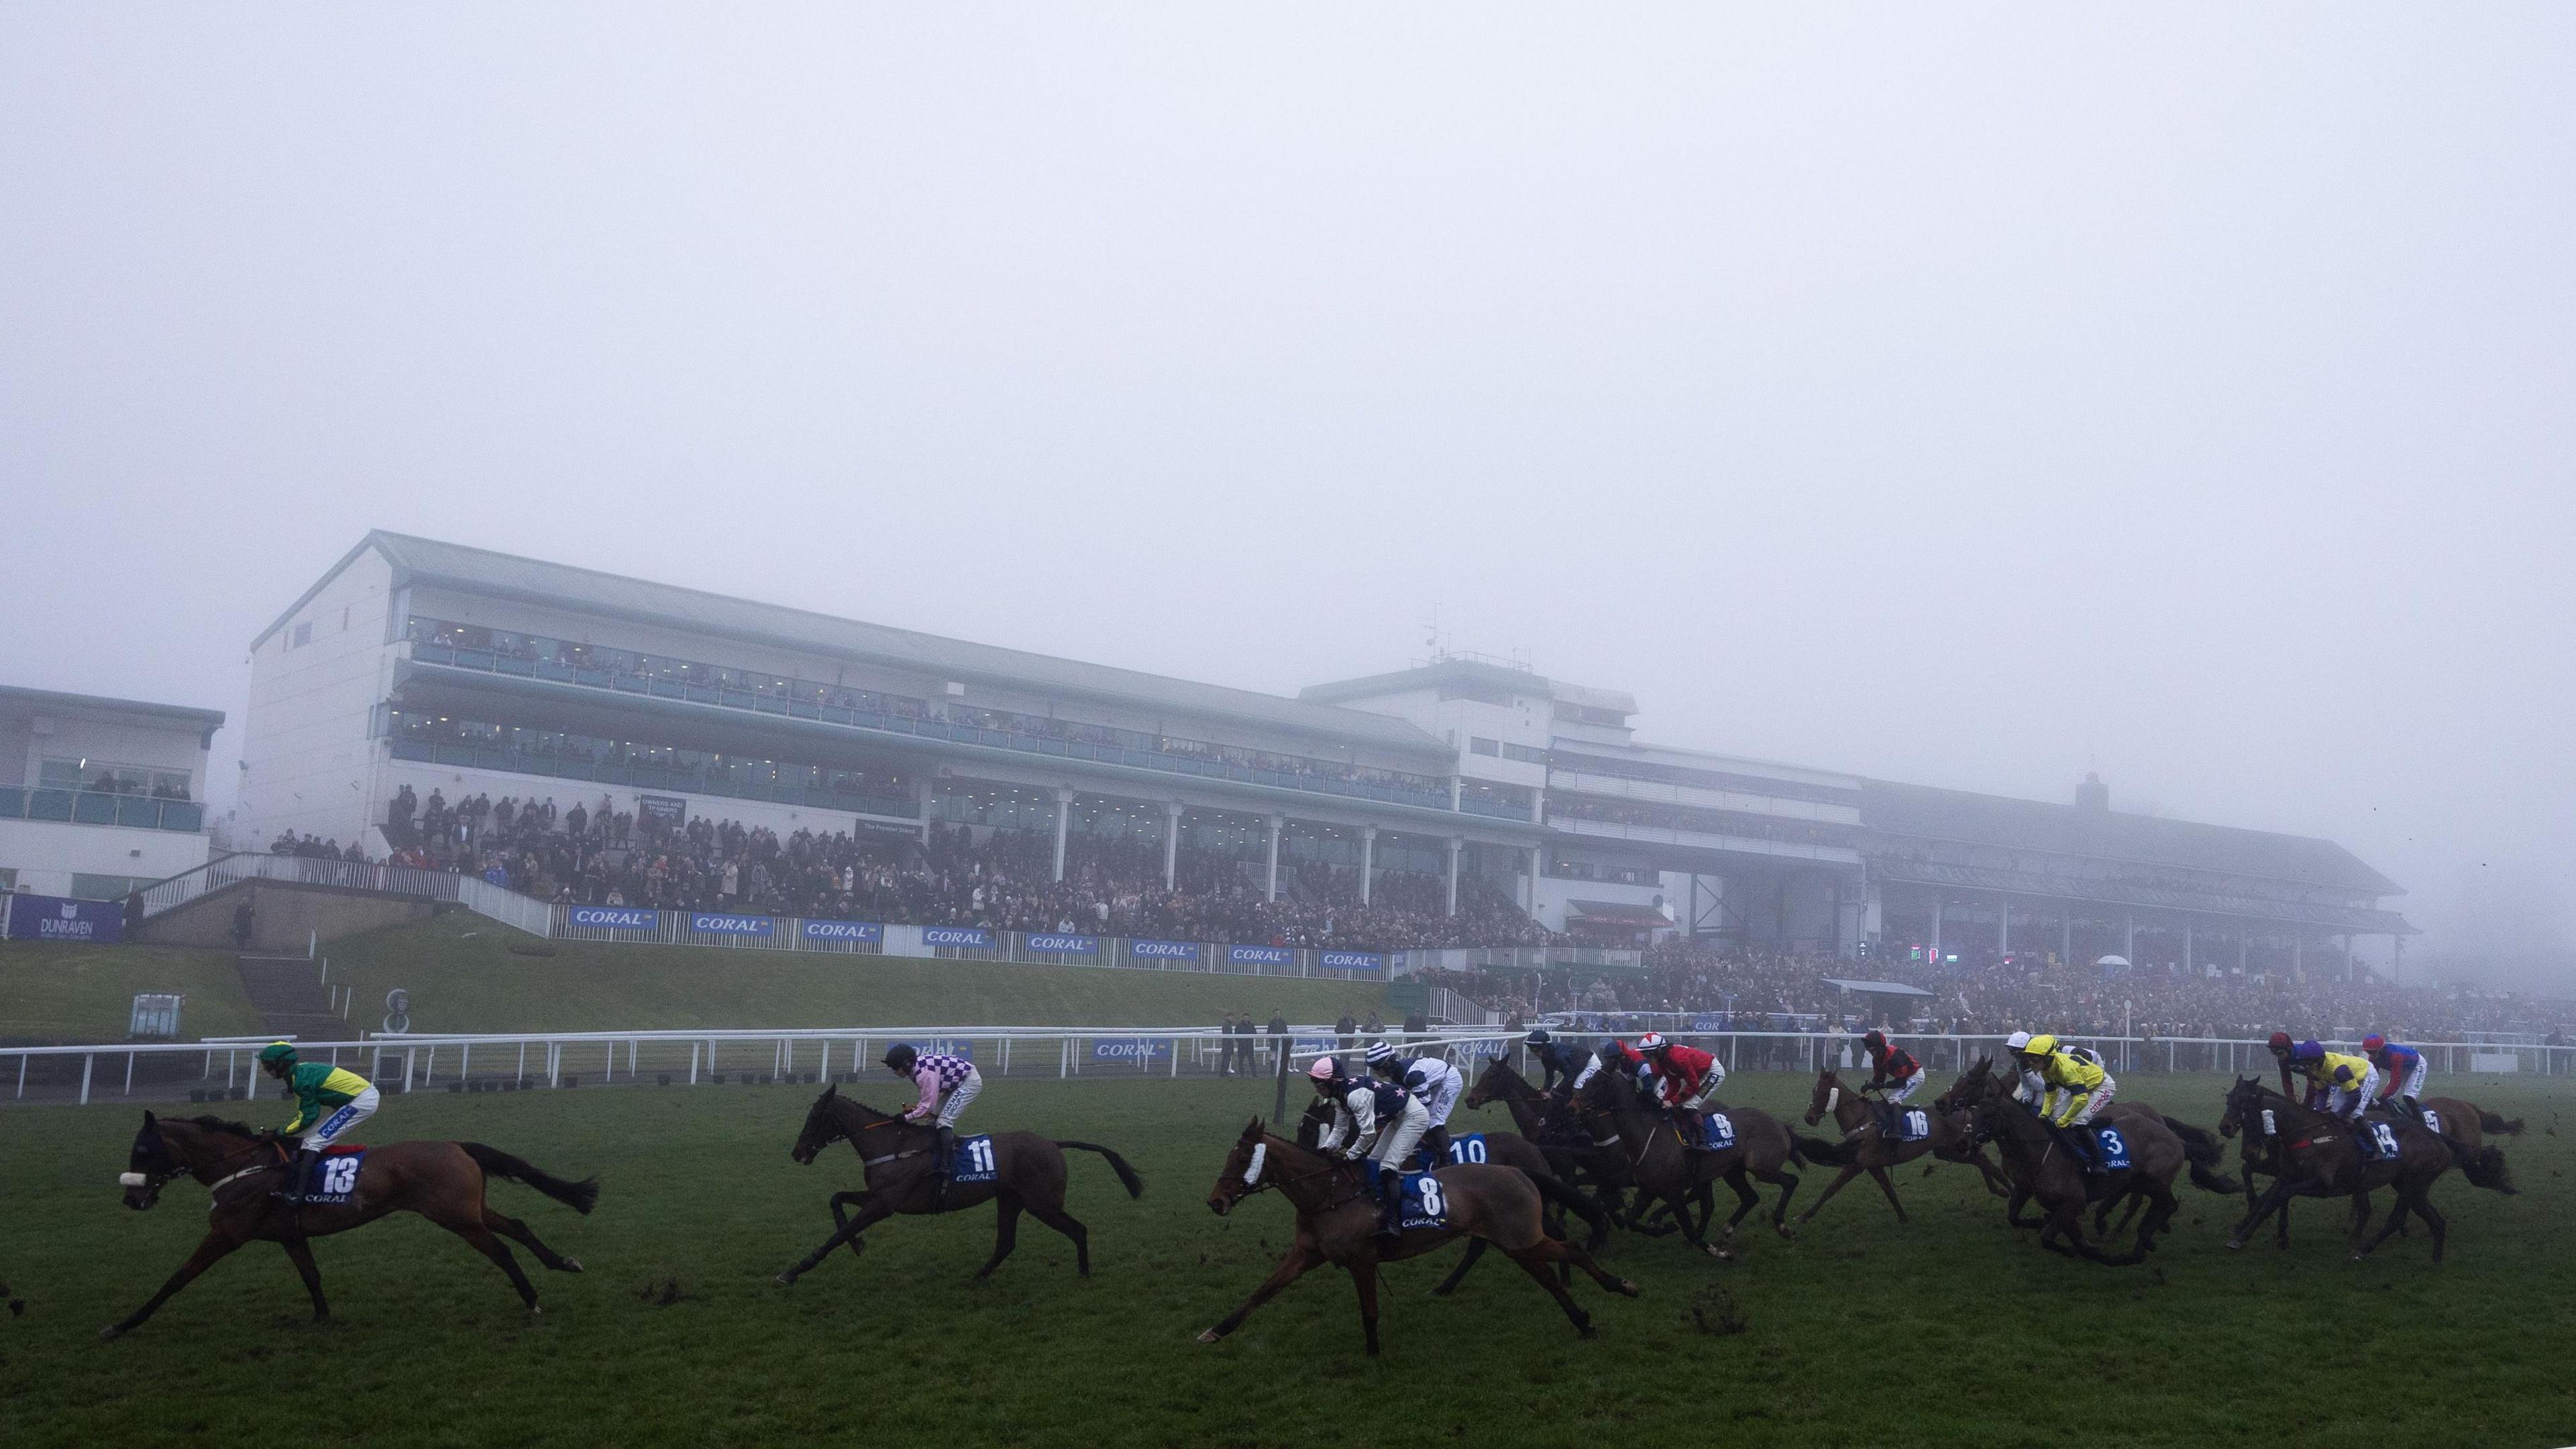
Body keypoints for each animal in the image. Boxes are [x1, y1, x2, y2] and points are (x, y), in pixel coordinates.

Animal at [104, 1108, 592, 1340]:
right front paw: (322, 1319)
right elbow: (311, 1276)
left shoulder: (228, 1234)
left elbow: (177, 1278)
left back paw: (531, 1300)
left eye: (143, 1151)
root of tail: (457, 1144)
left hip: (456, 1216)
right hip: (469, 1208)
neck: (243, 1167)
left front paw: (123, 1324)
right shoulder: (289, 1235)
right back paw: (563, 1264)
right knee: (518, 1226)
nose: (133, 1198)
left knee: (501, 1249)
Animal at [762, 1077, 1128, 1279]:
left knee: (1078, 1230)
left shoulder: (884, 1204)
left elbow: (837, 1235)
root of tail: (1052, 1143)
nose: (797, 1152)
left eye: (814, 1117)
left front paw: (794, 1271)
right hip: (1010, 1199)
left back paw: (1083, 1274)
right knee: (1006, 1243)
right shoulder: (880, 1196)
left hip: (1042, 1203)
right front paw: (858, 1244)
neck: (893, 1144)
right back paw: (978, 1277)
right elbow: (836, 1200)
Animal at [1200, 1108, 1638, 1350]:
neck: (1329, 1193)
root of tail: (1518, 1168)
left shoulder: (1362, 1260)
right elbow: (1261, 1293)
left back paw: (1619, 1287)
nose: (1215, 1202)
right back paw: (1582, 1321)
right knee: (1546, 1274)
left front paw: (1373, 1353)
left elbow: (1370, 1310)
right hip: (1516, 1242)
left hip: (1521, 1236)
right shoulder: (1307, 1254)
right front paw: (1216, 1331)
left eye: (1242, 1158)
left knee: (1571, 1250)